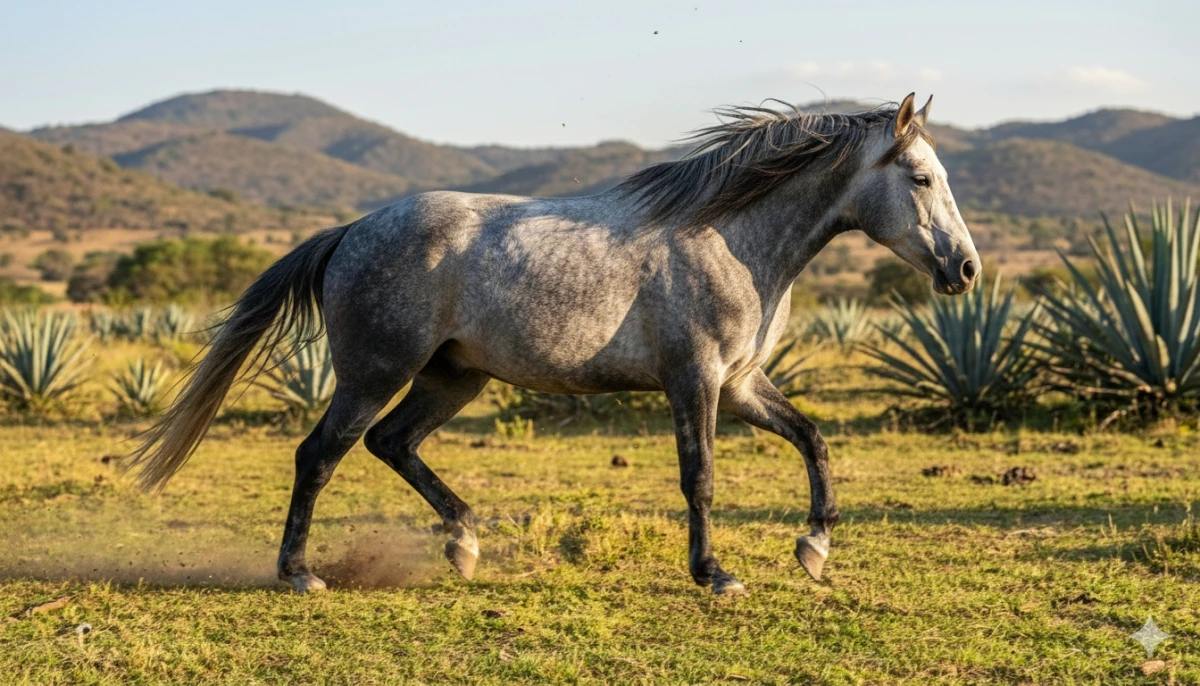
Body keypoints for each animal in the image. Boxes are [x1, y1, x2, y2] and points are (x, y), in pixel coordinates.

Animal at [125, 92, 979, 595]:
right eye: (923, 178)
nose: (965, 269)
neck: (729, 236)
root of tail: (352, 230)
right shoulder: (695, 381)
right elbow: (700, 479)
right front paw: (714, 573)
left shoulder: (740, 383)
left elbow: (815, 440)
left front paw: (814, 548)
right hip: (375, 372)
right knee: (321, 454)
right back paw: (299, 574)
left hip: (451, 379)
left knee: (391, 445)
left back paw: (465, 544)